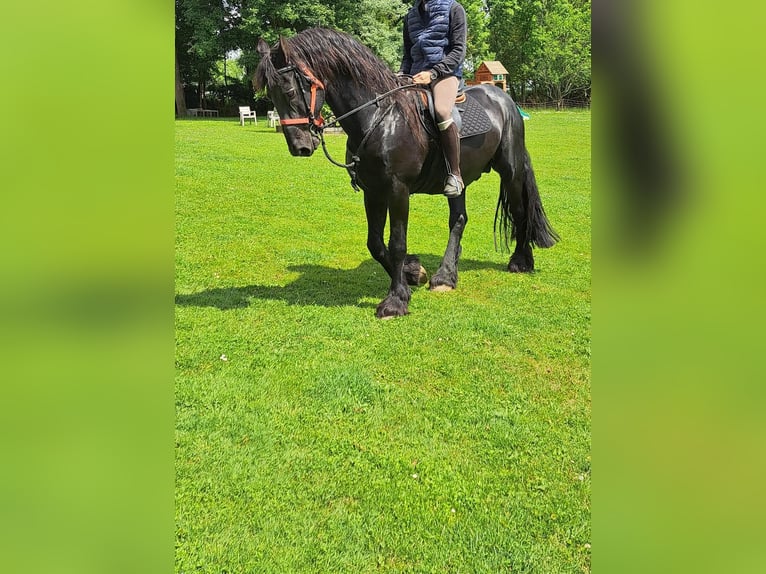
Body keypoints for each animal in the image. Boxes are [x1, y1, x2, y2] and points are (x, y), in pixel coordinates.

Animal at [254, 28, 558, 319]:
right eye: (271, 95)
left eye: (290, 91)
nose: (300, 147)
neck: (380, 120)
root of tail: (503, 98)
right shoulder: (373, 192)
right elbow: (376, 244)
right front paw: (412, 275)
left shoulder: (398, 191)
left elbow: (397, 243)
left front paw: (395, 301)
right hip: (458, 180)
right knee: (458, 220)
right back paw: (446, 276)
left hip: (511, 171)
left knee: (519, 211)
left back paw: (520, 261)